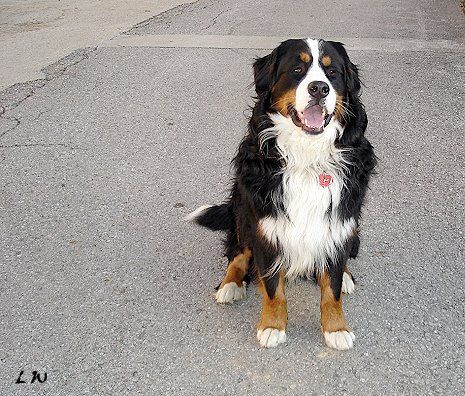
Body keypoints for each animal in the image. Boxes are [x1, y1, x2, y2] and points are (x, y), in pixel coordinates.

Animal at [187, 38, 376, 350]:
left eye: (332, 72)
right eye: (297, 69)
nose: (319, 88)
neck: (307, 157)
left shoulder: (337, 222)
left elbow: (332, 287)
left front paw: (336, 328)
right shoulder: (266, 227)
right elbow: (273, 289)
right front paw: (272, 326)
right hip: (242, 211)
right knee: (238, 253)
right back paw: (230, 285)